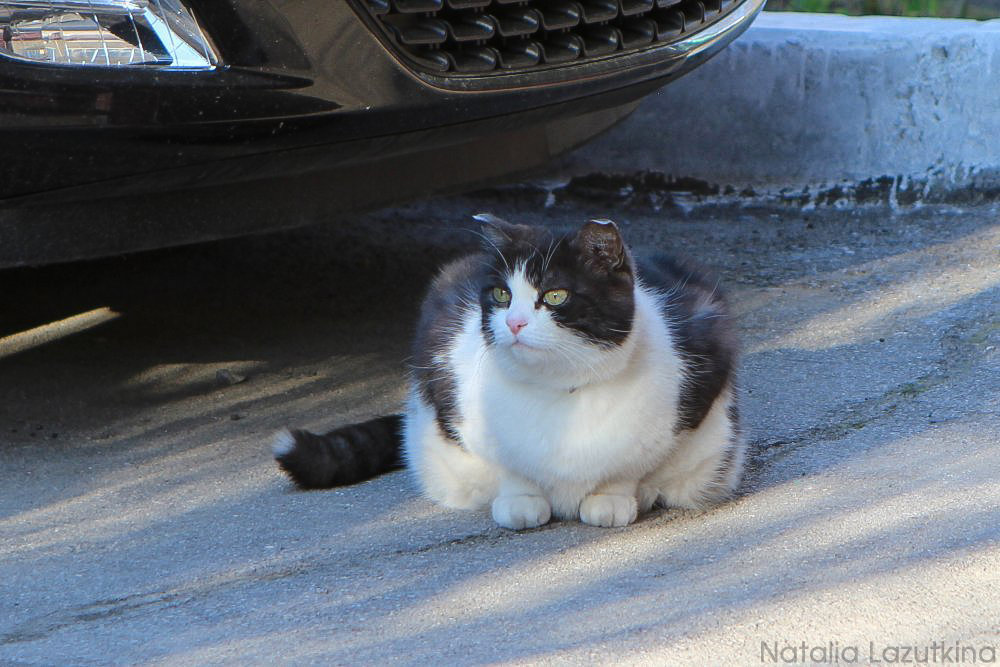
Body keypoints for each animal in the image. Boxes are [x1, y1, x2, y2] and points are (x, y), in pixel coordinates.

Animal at [274, 217, 744, 528]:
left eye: (555, 295)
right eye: (501, 295)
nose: (515, 323)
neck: (558, 392)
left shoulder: (704, 359)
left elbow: (628, 466)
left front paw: (612, 498)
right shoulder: (445, 376)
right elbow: (510, 469)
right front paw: (521, 500)